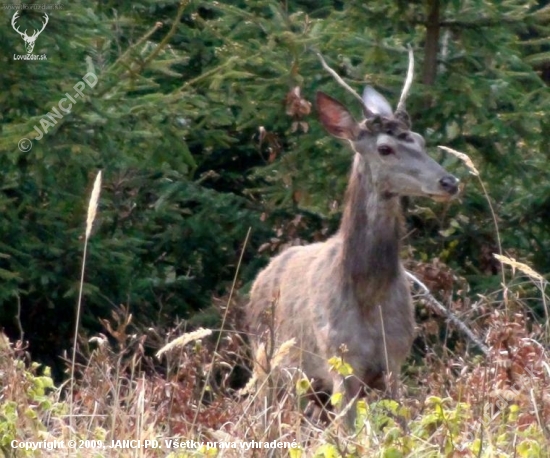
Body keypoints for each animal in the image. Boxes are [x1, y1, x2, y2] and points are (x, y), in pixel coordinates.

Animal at [247, 52, 462, 428]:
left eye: (420, 140)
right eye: (385, 148)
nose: (450, 182)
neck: (368, 295)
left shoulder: (394, 360)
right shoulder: (339, 360)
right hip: (266, 362)